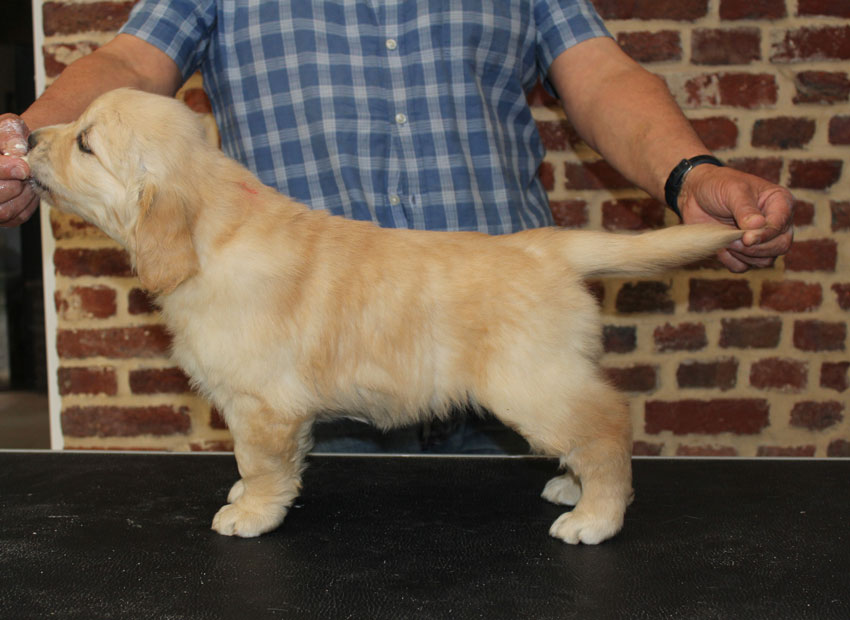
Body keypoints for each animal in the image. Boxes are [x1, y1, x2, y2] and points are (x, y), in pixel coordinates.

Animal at [28, 87, 744, 544]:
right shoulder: (266, 407)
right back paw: (574, 488)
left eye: (85, 143)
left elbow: (259, 464)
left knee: (607, 425)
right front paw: (248, 498)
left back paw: (596, 516)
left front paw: (252, 514)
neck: (212, 233)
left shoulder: (263, 405)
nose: (30, 134)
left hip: (530, 382)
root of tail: (545, 245)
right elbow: (267, 463)